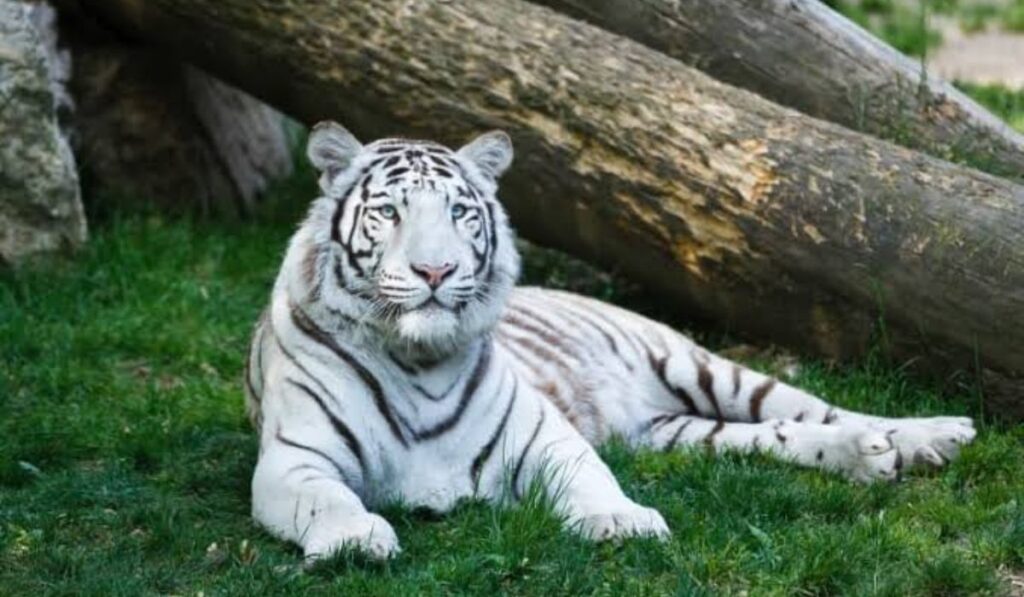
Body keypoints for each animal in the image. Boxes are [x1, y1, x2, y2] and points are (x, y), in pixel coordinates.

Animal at [244, 121, 977, 561]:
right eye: (388, 212)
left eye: (458, 212)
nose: (435, 271)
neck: (418, 358)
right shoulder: (295, 460)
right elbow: (328, 497)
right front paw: (355, 537)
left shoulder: (548, 437)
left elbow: (590, 479)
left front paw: (623, 521)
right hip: (676, 434)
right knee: (776, 436)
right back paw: (875, 455)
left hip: (702, 367)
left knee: (817, 409)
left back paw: (930, 435)